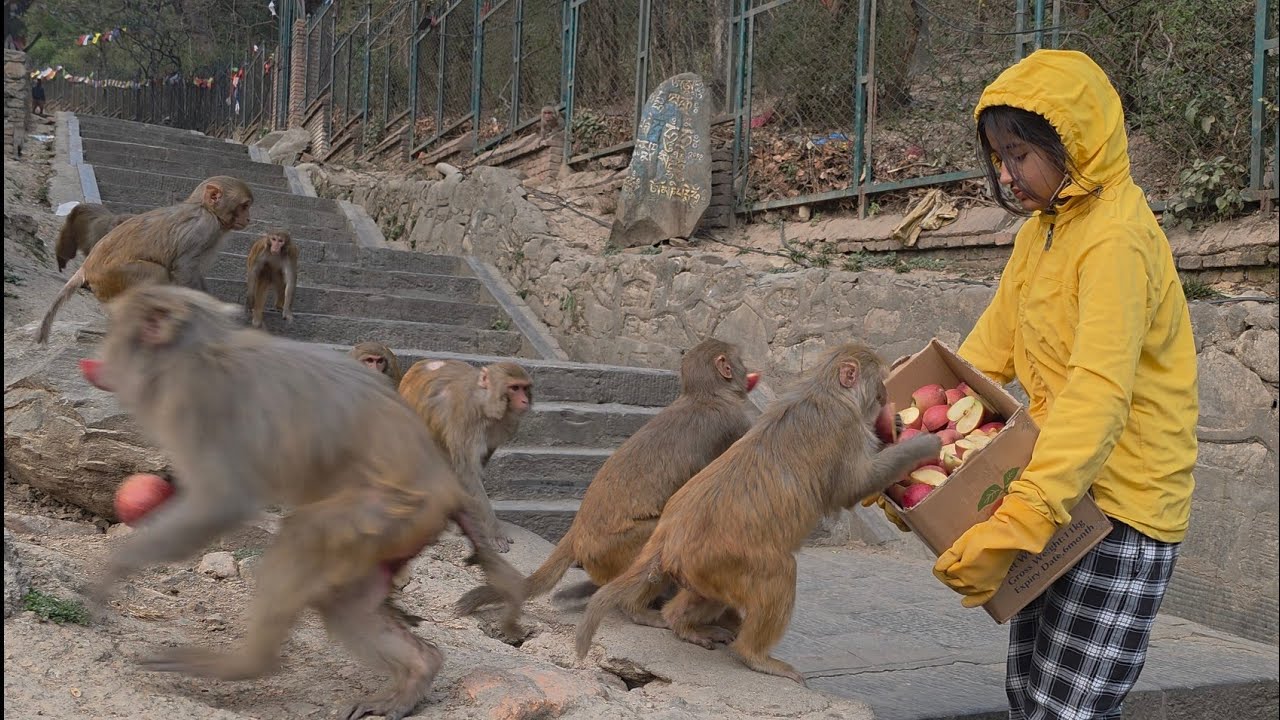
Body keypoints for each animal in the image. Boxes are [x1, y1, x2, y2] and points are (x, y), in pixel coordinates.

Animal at [36, 175, 253, 344]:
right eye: (244, 206)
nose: (249, 219)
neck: (204, 208)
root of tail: (86, 267)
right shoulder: (204, 229)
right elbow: (184, 268)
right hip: (113, 276)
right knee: (157, 273)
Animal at [399, 359, 533, 554]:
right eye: (514, 388)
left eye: (525, 388)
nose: (524, 400)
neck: (483, 402)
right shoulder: (464, 418)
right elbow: (467, 474)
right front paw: (493, 532)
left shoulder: (502, 426)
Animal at [457, 338, 761, 623]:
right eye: (739, 360)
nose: (748, 370)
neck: (706, 395)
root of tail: (577, 532)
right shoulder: (737, 425)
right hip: (612, 550)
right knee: (658, 538)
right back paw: (636, 609)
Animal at [573, 342, 942, 686]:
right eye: (879, 382)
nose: (884, 396)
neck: (826, 390)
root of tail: (669, 534)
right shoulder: (844, 427)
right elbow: (851, 488)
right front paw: (920, 446)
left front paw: (896, 425)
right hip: (727, 560)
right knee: (779, 572)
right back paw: (754, 655)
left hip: (701, 570)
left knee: (706, 596)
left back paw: (681, 623)